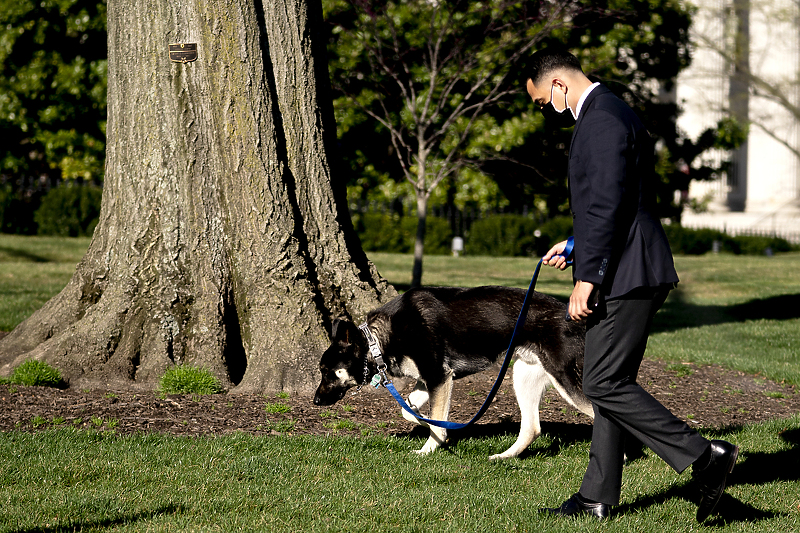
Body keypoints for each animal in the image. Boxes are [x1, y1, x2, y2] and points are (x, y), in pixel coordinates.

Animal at [314, 284, 592, 460]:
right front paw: (435, 427)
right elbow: (411, 412)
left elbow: (434, 421)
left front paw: (428, 449)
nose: (315, 401)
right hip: (523, 376)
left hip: (565, 380)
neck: (380, 340)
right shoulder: (430, 380)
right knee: (532, 428)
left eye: (328, 372)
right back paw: (503, 457)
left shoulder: (439, 377)